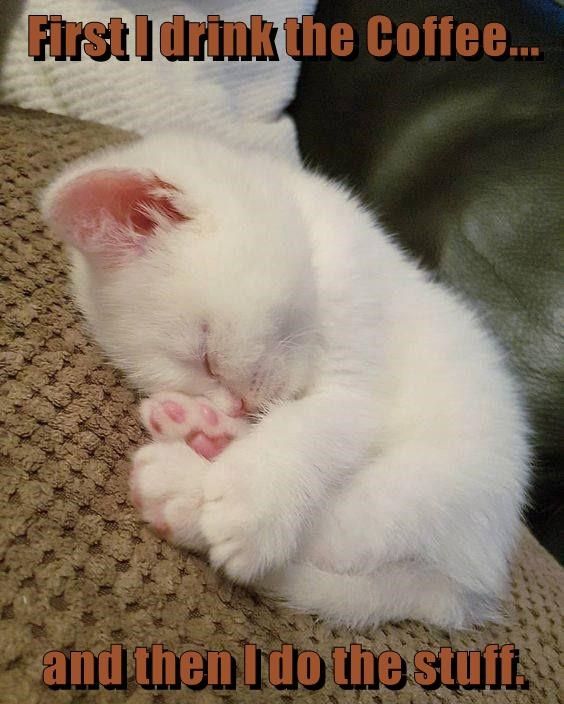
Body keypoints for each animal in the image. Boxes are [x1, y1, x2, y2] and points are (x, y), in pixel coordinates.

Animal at [41, 135, 532, 628]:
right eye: (198, 373)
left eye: (207, 356)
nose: (235, 404)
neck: (314, 240)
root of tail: (470, 588)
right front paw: (214, 422)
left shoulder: (359, 369)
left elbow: (310, 424)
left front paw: (251, 499)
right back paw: (201, 434)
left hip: (428, 485)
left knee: (341, 532)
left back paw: (182, 493)